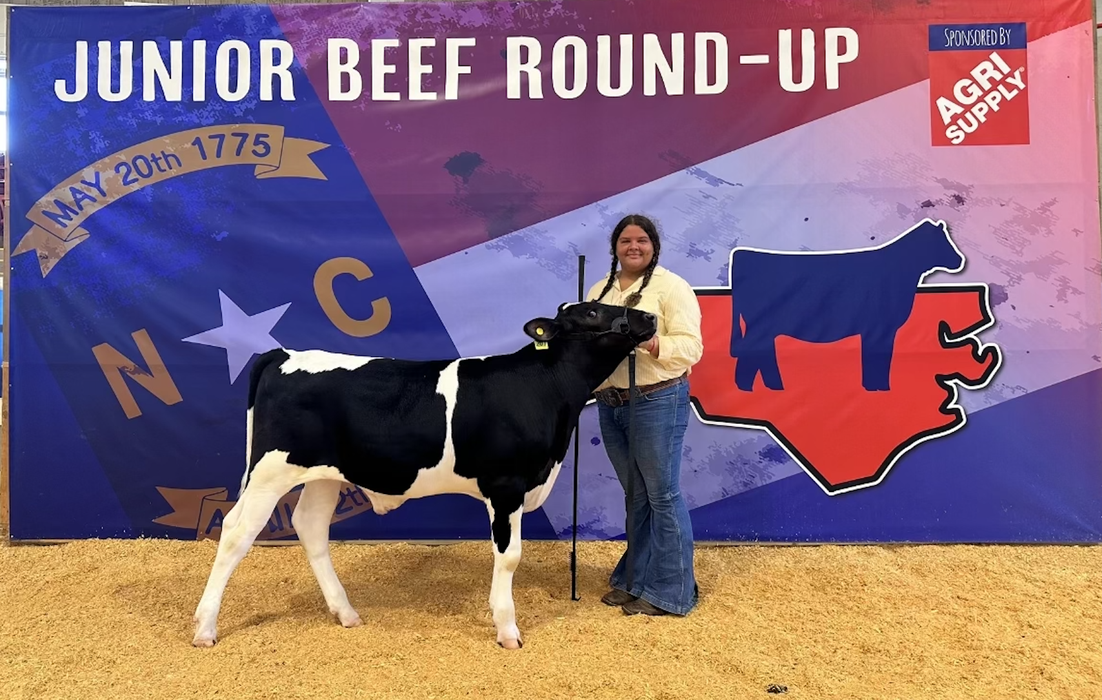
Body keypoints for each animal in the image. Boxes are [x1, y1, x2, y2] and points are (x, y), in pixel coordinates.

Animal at [191, 300, 657, 650]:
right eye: (593, 312)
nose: (650, 317)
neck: (546, 390)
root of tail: (283, 354)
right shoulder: (506, 486)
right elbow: (509, 557)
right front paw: (508, 631)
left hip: (324, 475)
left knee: (310, 526)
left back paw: (346, 613)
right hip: (271, 471)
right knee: (235, 532)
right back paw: (205, 628)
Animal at [728, 218, 965, 392]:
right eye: (942, 241)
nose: (960, 260)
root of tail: (742, 255)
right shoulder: (879, 329)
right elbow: (876, 357)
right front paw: (878, 388)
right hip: (760, 326)